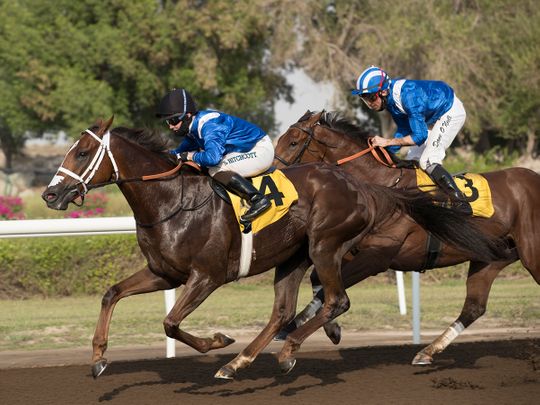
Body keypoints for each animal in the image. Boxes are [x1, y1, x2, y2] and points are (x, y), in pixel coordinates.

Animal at [42, 117, 506, 378]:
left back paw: (284, 352)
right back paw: (242, 362)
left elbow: (171, 323)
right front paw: (98, 357)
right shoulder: (164, 273)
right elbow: (112, 294)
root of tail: (363, 186)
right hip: (293, 258)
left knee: (335, 300)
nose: (50, 194)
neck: (172, 201)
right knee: (284, 311)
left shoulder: (207, 276)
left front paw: (217, 340)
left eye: (83, 152)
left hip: (325, 246)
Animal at [274, 109, 540, 364]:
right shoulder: (349, 251)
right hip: (489, 258)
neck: (383, 188)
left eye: (293, 142)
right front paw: (326, 328)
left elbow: (326, 291)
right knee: (474, 307)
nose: (275, 175)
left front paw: (295, 333)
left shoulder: (377, 259)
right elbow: (318, 280)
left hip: (531, 253)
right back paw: (427, 352)